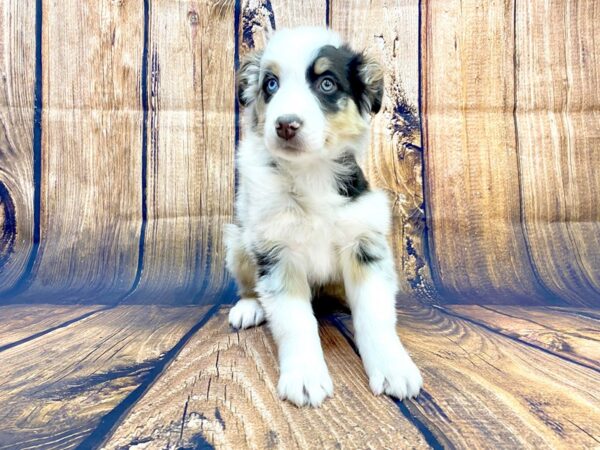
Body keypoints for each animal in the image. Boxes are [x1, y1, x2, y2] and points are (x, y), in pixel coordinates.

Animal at [225, 27, 422, 408]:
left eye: (327, 83)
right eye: (270, 84)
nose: (285, 125)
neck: (310, 173)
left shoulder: (365, 245)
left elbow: (375, 316)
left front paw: (393, 367)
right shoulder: (276, 253)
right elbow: (295, 321)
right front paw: (304, 376)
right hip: (239, 241)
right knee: (249, 284)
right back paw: (250, 307)